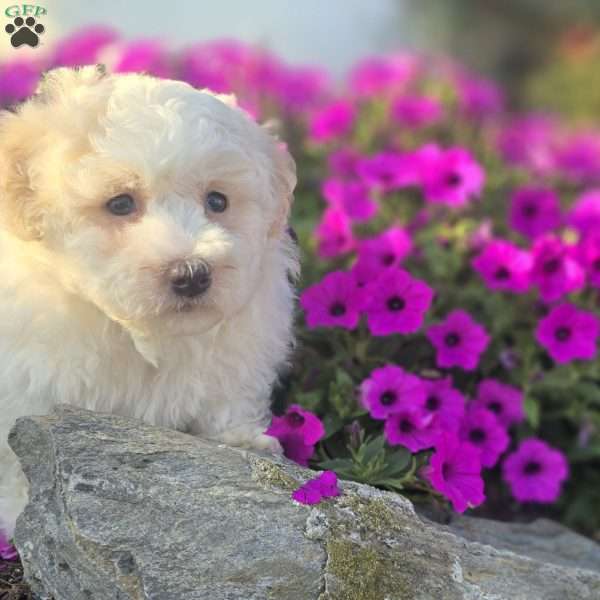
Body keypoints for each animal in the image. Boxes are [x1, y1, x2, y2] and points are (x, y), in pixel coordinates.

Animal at [0, 64, 298, 536]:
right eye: (120, 203)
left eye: (218, 200)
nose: (192, 274)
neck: (134, 330)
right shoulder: (25, 384)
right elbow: (14, 454)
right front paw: (23, 509)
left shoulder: (239, 347)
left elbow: (229, 394)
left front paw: (240, 440)